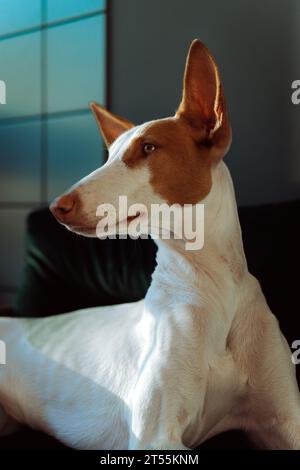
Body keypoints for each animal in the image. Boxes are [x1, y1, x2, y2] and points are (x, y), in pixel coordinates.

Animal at [0, 39, 300, 448]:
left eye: (148, 149)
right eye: (110, 155)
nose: (57, 206)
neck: (216, 287)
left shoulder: (288, 423)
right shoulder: (157, 437)